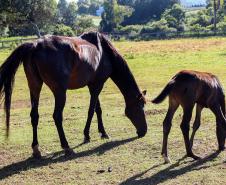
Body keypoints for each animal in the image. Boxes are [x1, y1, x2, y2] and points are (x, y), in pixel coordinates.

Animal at [0, 31, 147, 158]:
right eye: (140, 107)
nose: (143, 131)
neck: (104, 52)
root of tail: (35, 45)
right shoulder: (97, 85)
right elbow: (91, 110)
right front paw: (87, 135)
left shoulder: (93, 85)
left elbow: (98, 109)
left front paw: (103, 133)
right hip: (59, 92)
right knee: (57, 116)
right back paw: (67, 147)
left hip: (35, 87)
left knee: (34, 116)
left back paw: (36, 149)